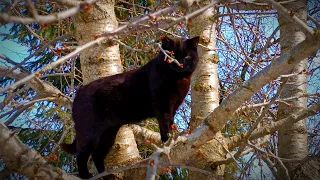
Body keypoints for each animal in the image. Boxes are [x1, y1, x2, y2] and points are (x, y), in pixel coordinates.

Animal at [61, 35, 199, 179]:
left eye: (187, 56)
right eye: (172, 55)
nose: (180, 62)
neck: (177, 79)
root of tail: (79, 92)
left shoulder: (173, 108)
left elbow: (169, 125)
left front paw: (170, 141)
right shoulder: (163, 107)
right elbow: (166, 126)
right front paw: (167, 143)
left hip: (108, 132)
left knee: (97, 155)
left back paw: (107, 176)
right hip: (90, 132)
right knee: (81, 154)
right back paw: (85, 176)